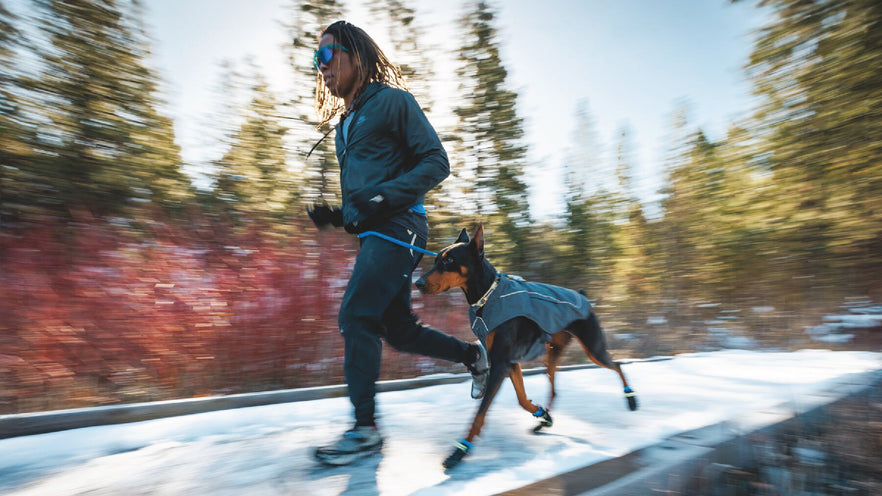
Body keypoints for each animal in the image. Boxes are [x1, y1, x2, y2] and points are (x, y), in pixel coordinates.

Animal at [416, 225, 636, 468]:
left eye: (449, 260)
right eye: (436, 259)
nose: (418, 284)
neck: (486, 297)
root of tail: (583, 296)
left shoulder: (501, 362)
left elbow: (480, 413)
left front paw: (460, 450)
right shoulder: (510, 362)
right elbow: (521, 399)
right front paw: (540, 413)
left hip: (593, 348)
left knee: (617, 364)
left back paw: (631, 398)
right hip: (552, 354)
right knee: (555, 389)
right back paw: (544, 420)